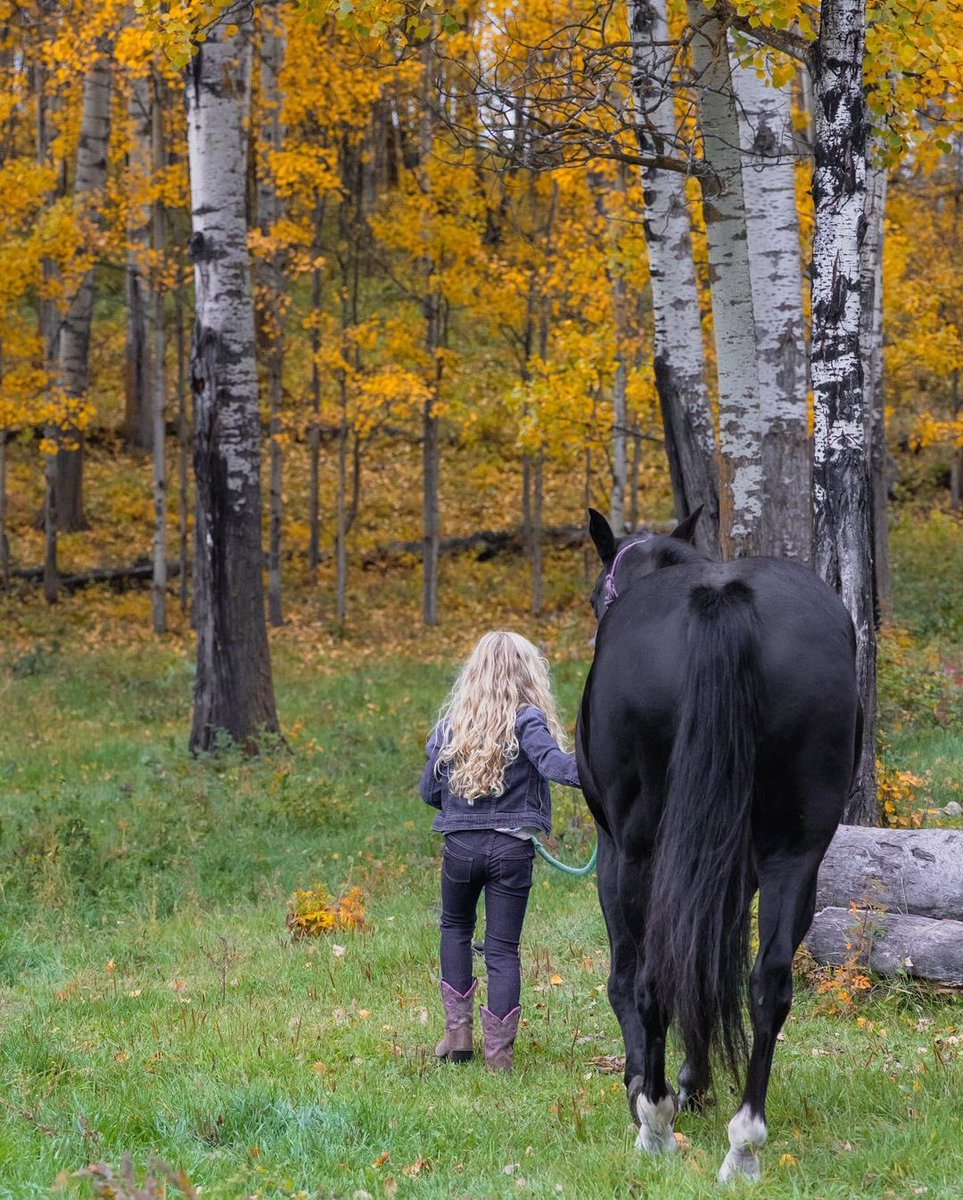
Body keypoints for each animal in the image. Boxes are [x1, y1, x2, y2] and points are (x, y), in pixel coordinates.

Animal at [576, 508, 861, 1183]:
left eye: (598, 592)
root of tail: (723, 598)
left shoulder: (615, 854)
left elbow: (626, 976)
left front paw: (646, 1085)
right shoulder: (736, 867)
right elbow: (710, 964)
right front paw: (697, 1081)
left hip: (641, 854)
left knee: (652, 974)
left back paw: (654, 1122)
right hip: (794, 852)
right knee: (768, 982)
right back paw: (744, 1141)